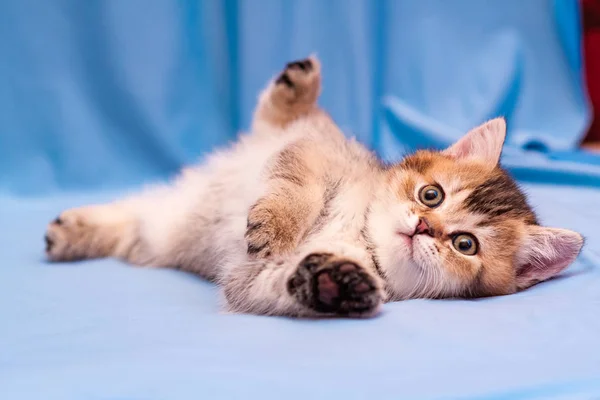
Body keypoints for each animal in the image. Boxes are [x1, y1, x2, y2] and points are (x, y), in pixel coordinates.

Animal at [44, 57, 584, 318]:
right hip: (290, 134)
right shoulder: (313, 153)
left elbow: (276, 284)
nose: (424, 227)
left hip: (160, 231)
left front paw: (334, 284)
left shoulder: (247, 281)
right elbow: (295, 188)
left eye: (465, 244)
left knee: (133, 219)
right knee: (280, 116)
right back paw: (297, 84)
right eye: (431, 194)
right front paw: (276, 226)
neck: (359, 234)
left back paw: (71, 232)